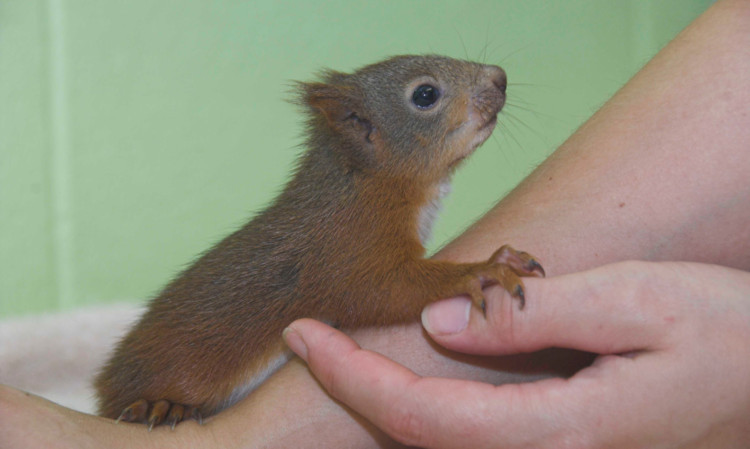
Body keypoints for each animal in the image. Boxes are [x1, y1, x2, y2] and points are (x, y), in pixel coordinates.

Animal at [94, 54, 544, 428]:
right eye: (425, 95)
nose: (500, 77)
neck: (362, 182)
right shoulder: (347, 248)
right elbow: (382, 292)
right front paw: (485, 269)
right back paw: (158, 406)